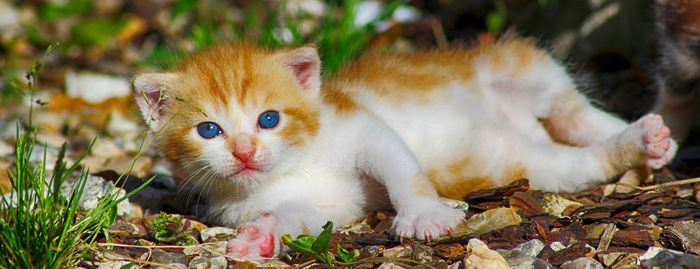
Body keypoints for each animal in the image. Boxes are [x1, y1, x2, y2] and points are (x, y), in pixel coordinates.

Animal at [133, 38, 680, 258]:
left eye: (269, 119)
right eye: (209, 130)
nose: (245, 152)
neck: (293, 165)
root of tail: (524, 127)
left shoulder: (359, 127)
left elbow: (400, 166)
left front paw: (423, 217)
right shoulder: (326, 203)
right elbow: (297, 216)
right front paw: (260, 240)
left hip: (518, 64)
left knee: (573, 106)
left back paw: (651, 130)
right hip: (541, 166)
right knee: (582, 156)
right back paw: (639, 144)